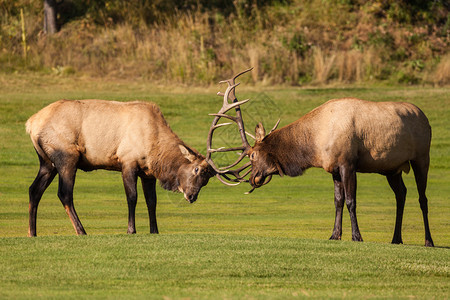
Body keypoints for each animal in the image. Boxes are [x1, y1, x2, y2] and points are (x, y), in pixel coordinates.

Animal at [25, 100, 215, 237]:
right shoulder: (127, 162)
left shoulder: (148, 174)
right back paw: (81, 231)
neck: (155, 150)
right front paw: (131, 230)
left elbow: (151, 201)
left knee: (34, 190)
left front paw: (154, 230)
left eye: (206, 180)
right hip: (66, 156)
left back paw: (32, 232)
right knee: (64, 193)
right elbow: (132, 197)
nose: (191, 196)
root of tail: (31, 124)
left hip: (47, 162)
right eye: (196, 170)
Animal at [207, 69, 432, 247]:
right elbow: (338, 201)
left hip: (422, 157)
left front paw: (357, 236)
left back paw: (428, 241)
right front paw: (335, 235)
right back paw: (396, 238)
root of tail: (425, 117)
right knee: (401, 194)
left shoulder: (348, 163)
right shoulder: (333, 168)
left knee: (422, 197)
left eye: (253, 155)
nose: (253, 178)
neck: (315, 143)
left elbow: (351, 201)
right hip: (392, 168)